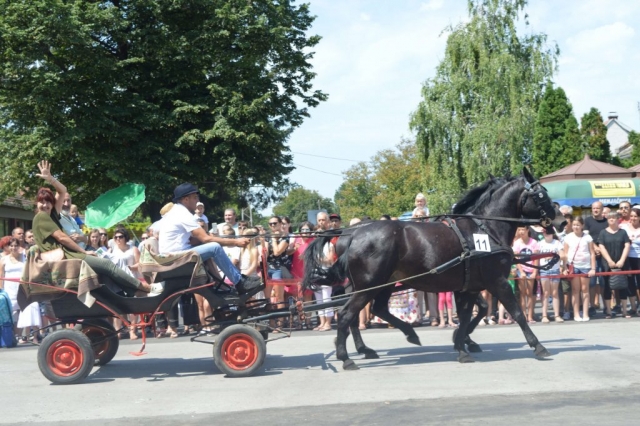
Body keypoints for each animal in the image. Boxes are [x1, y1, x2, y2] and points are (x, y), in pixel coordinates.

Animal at [302, 169, 564, 370]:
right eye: (541, 195)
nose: (561, 221)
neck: (485, 228)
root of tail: (353, 233)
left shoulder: (469, 286)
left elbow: (470, 313)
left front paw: (462, 344)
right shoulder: (497, 281)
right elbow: (516, 313)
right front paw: (538, 346)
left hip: (380, 285)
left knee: (371, 310)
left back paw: (397, 337)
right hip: (368, 286)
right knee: (348, 314)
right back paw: (347, 357)